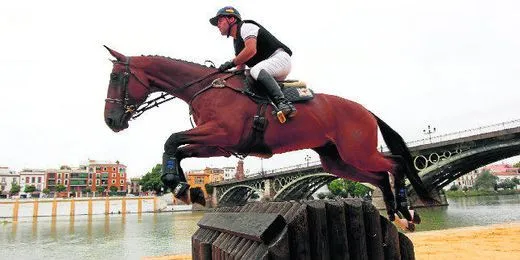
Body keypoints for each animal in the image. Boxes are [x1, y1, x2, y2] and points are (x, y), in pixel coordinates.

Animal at [101, 45, 434, 231]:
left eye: (116, 77)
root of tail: (365, 110)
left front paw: (179, 185)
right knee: (379, 176)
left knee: (396, 163)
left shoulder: (221, 134)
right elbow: (178, 148)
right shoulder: (219, 145)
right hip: (336, 159)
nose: (111, 121)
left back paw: (406, 209)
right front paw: (185, 189)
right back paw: (397, 213)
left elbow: (172, 140)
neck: (206, 88)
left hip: (357, 151)